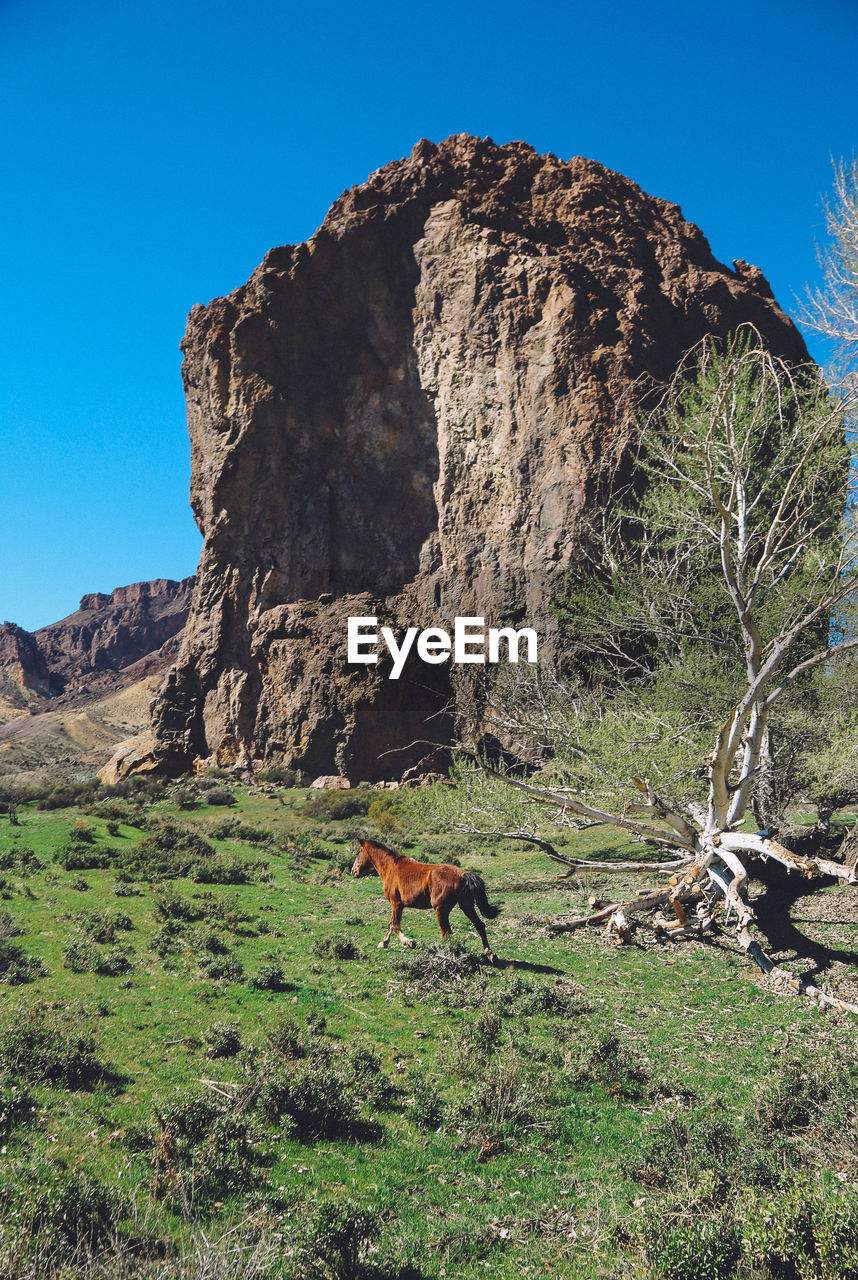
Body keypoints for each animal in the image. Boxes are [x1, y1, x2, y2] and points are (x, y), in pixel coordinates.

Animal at [350, 839, 501, 962]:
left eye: (357, 852)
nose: (353, 872)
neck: (391, 867)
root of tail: (463, 875)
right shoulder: (396, 905)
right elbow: (391, 924)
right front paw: (384, 943)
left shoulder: (396, 903)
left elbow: (396, 926)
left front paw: (408, 942)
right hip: (466, 906)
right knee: (479, 925)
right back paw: (490, 954)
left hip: (441, 910)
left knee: (446, 933)